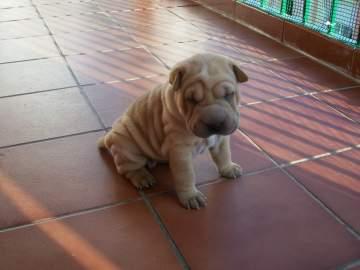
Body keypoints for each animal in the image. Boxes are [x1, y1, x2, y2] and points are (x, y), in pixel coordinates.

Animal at [97, 52, 249, 209]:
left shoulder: (220, 140)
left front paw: (228, 168)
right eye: (191, 100)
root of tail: (109, 136)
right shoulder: (180, 150)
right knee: (128, 168)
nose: (214, 122)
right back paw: (142, 177)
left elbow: (224, 155)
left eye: (228, 94)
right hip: (127, 147)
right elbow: (186, 175)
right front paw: (191, 196)